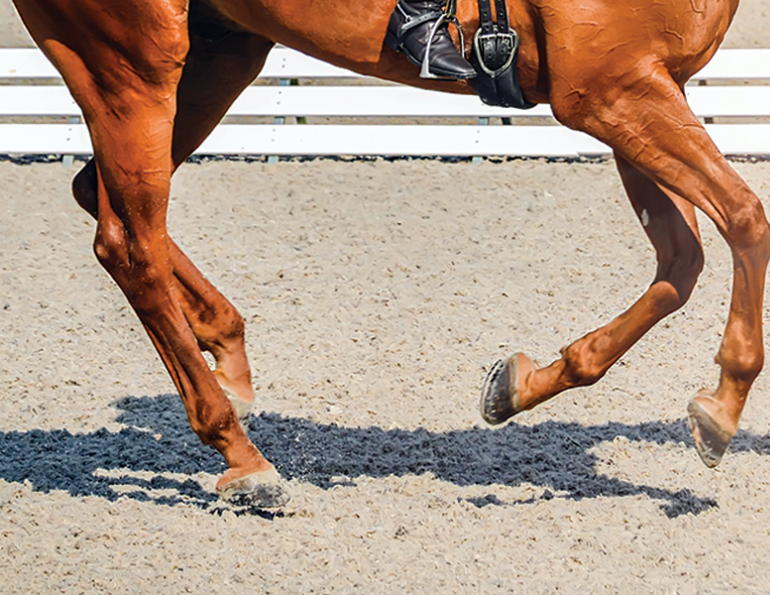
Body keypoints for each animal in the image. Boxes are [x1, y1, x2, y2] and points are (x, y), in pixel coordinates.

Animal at [9, 0, 764, 508]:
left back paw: (227, 355)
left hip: (219, 50)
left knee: (99, 199)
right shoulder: (610, 90)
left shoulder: (637, 88)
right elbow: (747, 221)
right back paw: (243, 455)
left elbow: (682, 263)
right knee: (128, 242)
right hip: (134, 58)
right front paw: (723, 410)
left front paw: (518, 386)